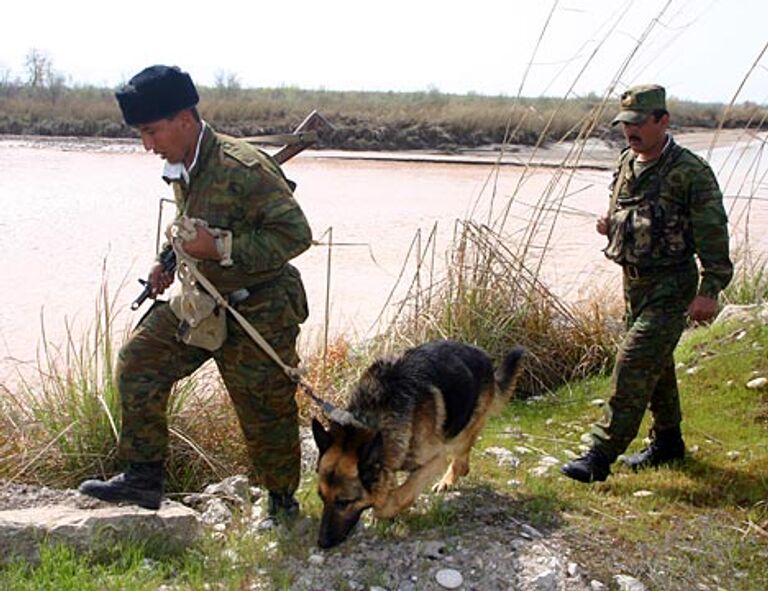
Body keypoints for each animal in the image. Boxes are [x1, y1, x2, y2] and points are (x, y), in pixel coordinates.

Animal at [310, 340, 520, 548]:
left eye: (344, 502)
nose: (321, 542)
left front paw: (384, 511)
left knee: (461, 461)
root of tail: (481, 354)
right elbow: (389, 482)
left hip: (459, 434)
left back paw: (446, 481)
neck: (372, 419)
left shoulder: (435, 459)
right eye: (321, 497)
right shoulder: (390, 460)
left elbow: (404, 493)